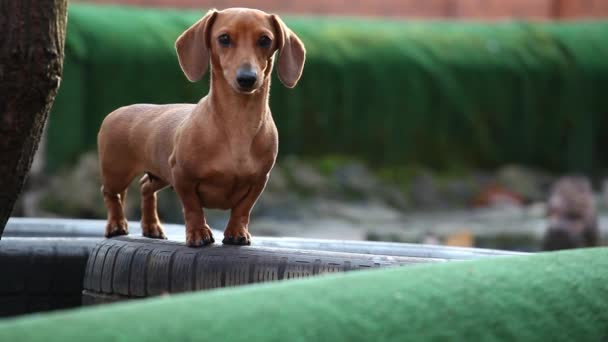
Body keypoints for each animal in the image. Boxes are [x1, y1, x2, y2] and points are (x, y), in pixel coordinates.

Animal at [98, 8, 306, 247]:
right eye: (224, 38)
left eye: (265, 40)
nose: (247, 78)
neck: (238, 123)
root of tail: (117, 110)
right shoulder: (182, 175)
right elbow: (192, 208)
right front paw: (198, 233)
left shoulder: (259, 180)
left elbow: (243, 209)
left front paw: (237, 232)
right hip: (118, 173)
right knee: (111, 194)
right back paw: (116, 225)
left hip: (159, 175)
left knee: (144, 187)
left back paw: (151, 227)